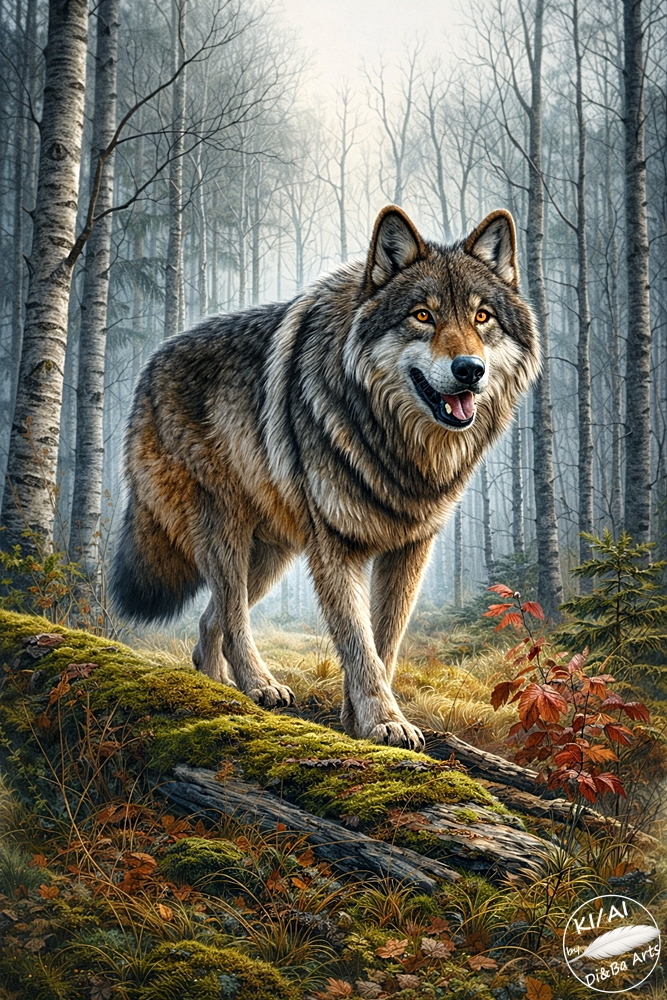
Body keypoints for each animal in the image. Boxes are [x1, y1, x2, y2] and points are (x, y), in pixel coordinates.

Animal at [110, 206, 540, 749]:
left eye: (482, 317)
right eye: (423, 315)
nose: (469, 369)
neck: (398, 448)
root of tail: (150, 365)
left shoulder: (410, 550)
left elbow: (384, 642)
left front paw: (359, 721)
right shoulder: (336, 546)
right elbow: (358, 642)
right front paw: (384, 721)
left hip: (274, 553)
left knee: (213, 619)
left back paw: (217, 687)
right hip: (226, 528)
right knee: (231, 612)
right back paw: (258, 684)